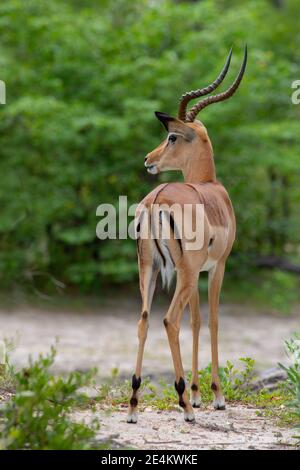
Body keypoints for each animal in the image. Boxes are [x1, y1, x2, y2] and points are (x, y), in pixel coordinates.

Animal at [126, 46, 246, 422]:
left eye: (171, 137)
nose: (147, 159)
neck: (211, 188)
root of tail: (157, 200)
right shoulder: (216, 267)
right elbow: (213, 320)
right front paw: (215, 396)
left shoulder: (197, 271)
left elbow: (197, 320)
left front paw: (197, 392)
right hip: (185, 272)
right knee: (170, 320)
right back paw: (184, 406)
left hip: (151, 269)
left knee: (145, 320)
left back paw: (134, 404)